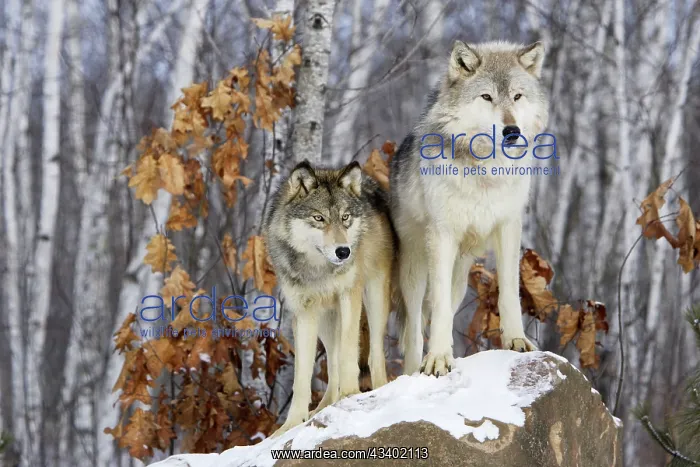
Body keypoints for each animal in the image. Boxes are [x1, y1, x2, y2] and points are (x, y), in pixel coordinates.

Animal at [263, 160, 395, 435]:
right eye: (319, 218)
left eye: (345, 218)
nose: (344, 252)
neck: (318, 270)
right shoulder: (303, 312)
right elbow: (301, 377)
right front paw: (291, 424)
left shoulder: (349, 295)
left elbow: (348, 351)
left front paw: (350, 393)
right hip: (325, 319)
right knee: (332, 366)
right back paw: (324, 407)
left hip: (374, 298)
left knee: (374, 355)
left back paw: (375, 388)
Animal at [390, 40, 550, 376]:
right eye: (486, 96)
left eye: (517, 96)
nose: (512, 131)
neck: (487, 172)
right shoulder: (442, 235)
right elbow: (436, 310)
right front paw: (438, 359)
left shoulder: (509, 227)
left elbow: (509, 292)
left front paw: (516, 340)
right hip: (414, 269)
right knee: (414, 330)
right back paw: (413, 371)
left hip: (461, 278)